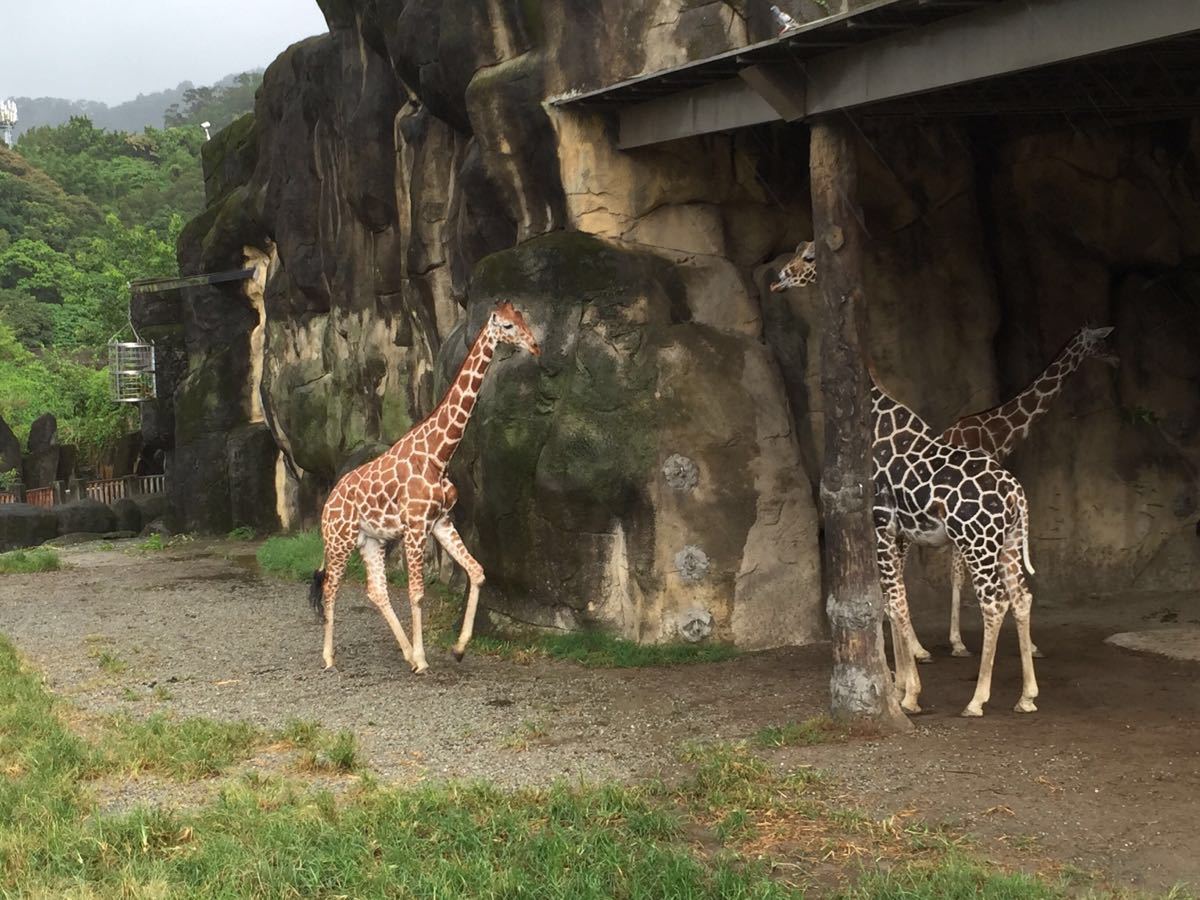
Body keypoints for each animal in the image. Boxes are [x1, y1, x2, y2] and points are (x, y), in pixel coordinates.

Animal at [309, 304, 540, 676]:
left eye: (523, 320)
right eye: (507, 326)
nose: (534, 346)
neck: (439, 454)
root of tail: (329, 502)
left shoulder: (441, 522)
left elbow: (477, 572)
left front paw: (458, 648)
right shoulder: (416, 526)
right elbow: (417, 593)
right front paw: (422, 658)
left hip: (370, 540)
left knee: (376, 590)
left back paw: (403, 652)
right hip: (339, 540)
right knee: (330, 586)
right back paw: (330, 658)